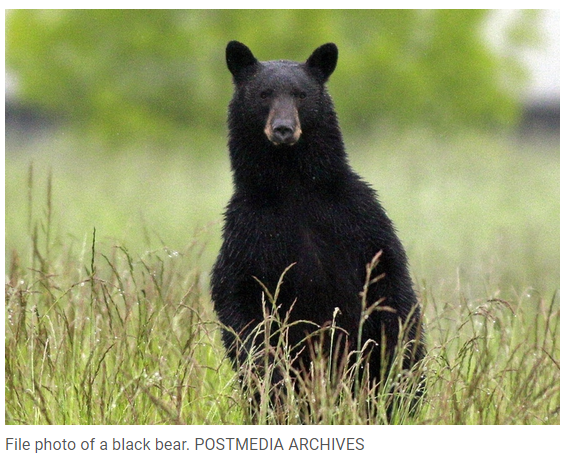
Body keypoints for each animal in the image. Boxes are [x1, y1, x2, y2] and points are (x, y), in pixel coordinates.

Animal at [212, 41, 424, 412]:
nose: (283, 129)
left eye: (301, 94)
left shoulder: (359, 218)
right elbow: (240, 300)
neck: (293, 185)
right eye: (264, 94)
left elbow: (391, 282)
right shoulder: (248, 231)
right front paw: (269, 372)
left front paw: (397, 364)